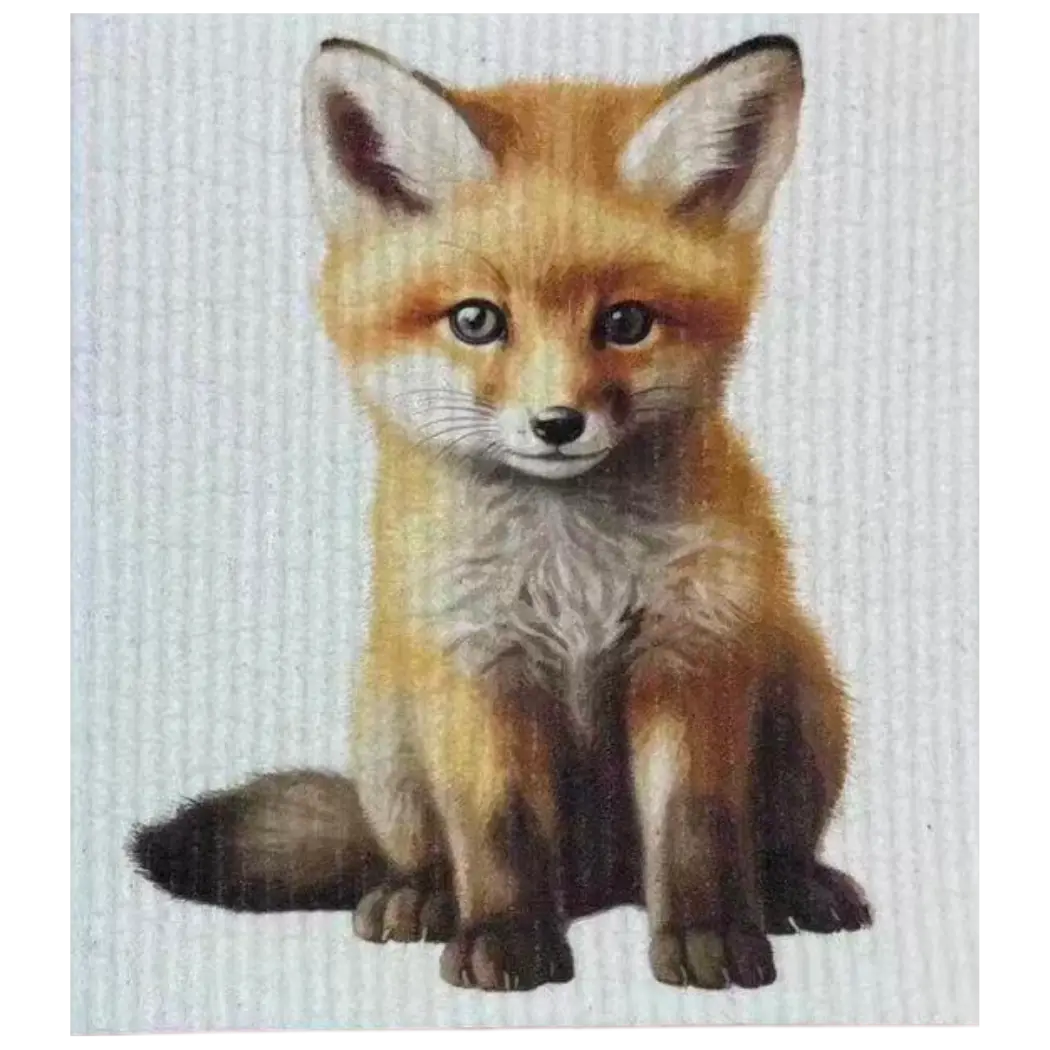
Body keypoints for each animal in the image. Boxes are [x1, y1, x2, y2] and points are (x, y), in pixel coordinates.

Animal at [129, 33, 872, 993]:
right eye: (476, 320)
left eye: (626, 322)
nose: (557, 424)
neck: (572, 575)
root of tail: (600, 887)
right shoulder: (475, 667)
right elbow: (499, 829)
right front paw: (508, 939)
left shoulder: (690, 656)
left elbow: (697, 823)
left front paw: (708, 934)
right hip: (390, 721)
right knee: (421, 850)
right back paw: (424, 897)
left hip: (801, 683)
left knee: (766, 839)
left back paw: (789, 885)